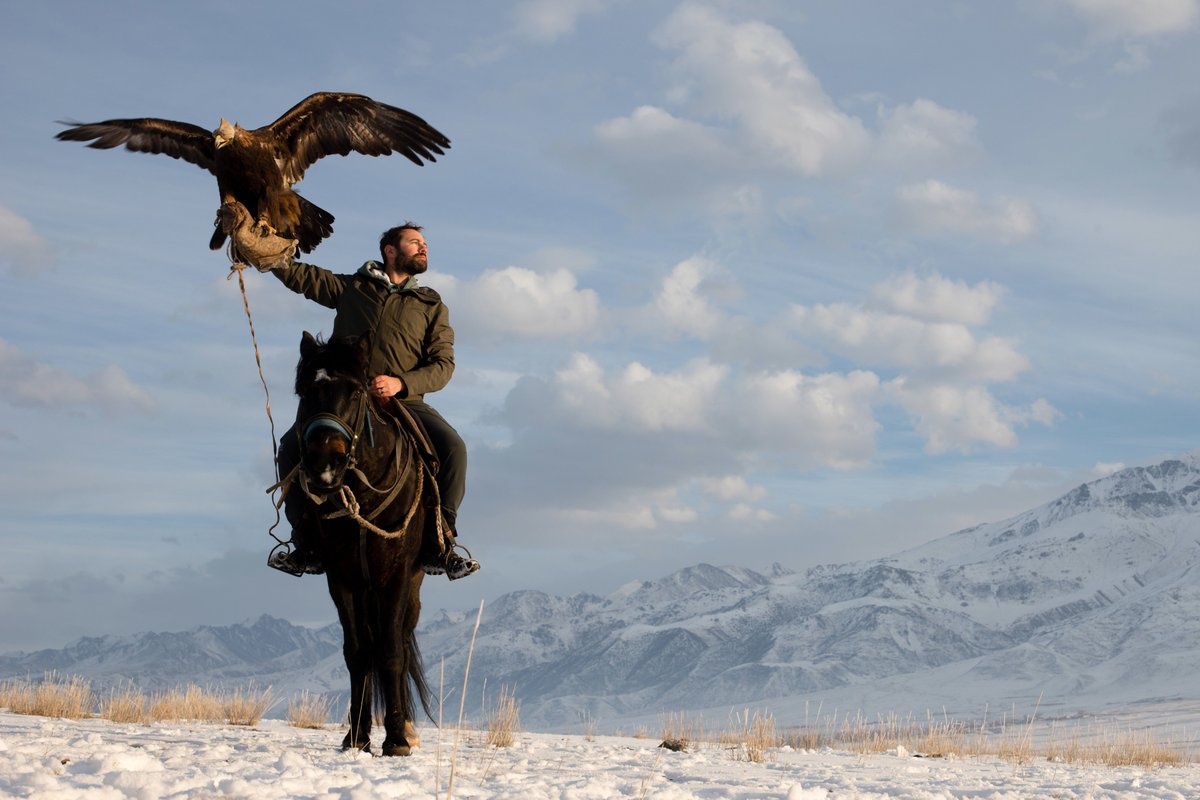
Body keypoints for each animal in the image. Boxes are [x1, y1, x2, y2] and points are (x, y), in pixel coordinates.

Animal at [278, 331, 434, 758]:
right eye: (304, 391)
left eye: (357, 391)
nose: (324, 464)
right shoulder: (341, 577)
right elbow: (357, 652)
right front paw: (357, 736)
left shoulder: (396, 576)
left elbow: (392, 650)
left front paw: (396, 739)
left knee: (400, 640)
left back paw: (407, 727)